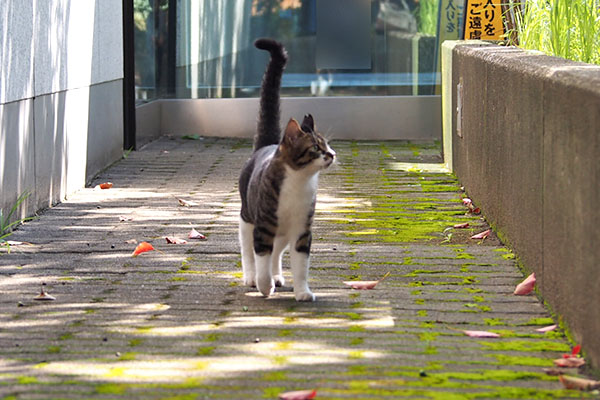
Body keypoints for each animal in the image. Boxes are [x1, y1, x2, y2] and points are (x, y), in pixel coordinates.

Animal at [238, 39, 336, 302]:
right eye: (316, 148)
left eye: (327, 145)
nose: (332, 154)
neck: (299, 183)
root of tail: (266, 145)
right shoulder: (263, 228)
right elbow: (260, 257)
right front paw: (264, 285)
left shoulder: (302, 231)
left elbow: (301, 266)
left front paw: (303, 291)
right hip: (247, 218)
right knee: (248, 252)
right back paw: (252, 277)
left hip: (283, 233)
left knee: (277, 253)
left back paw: (277, 275)